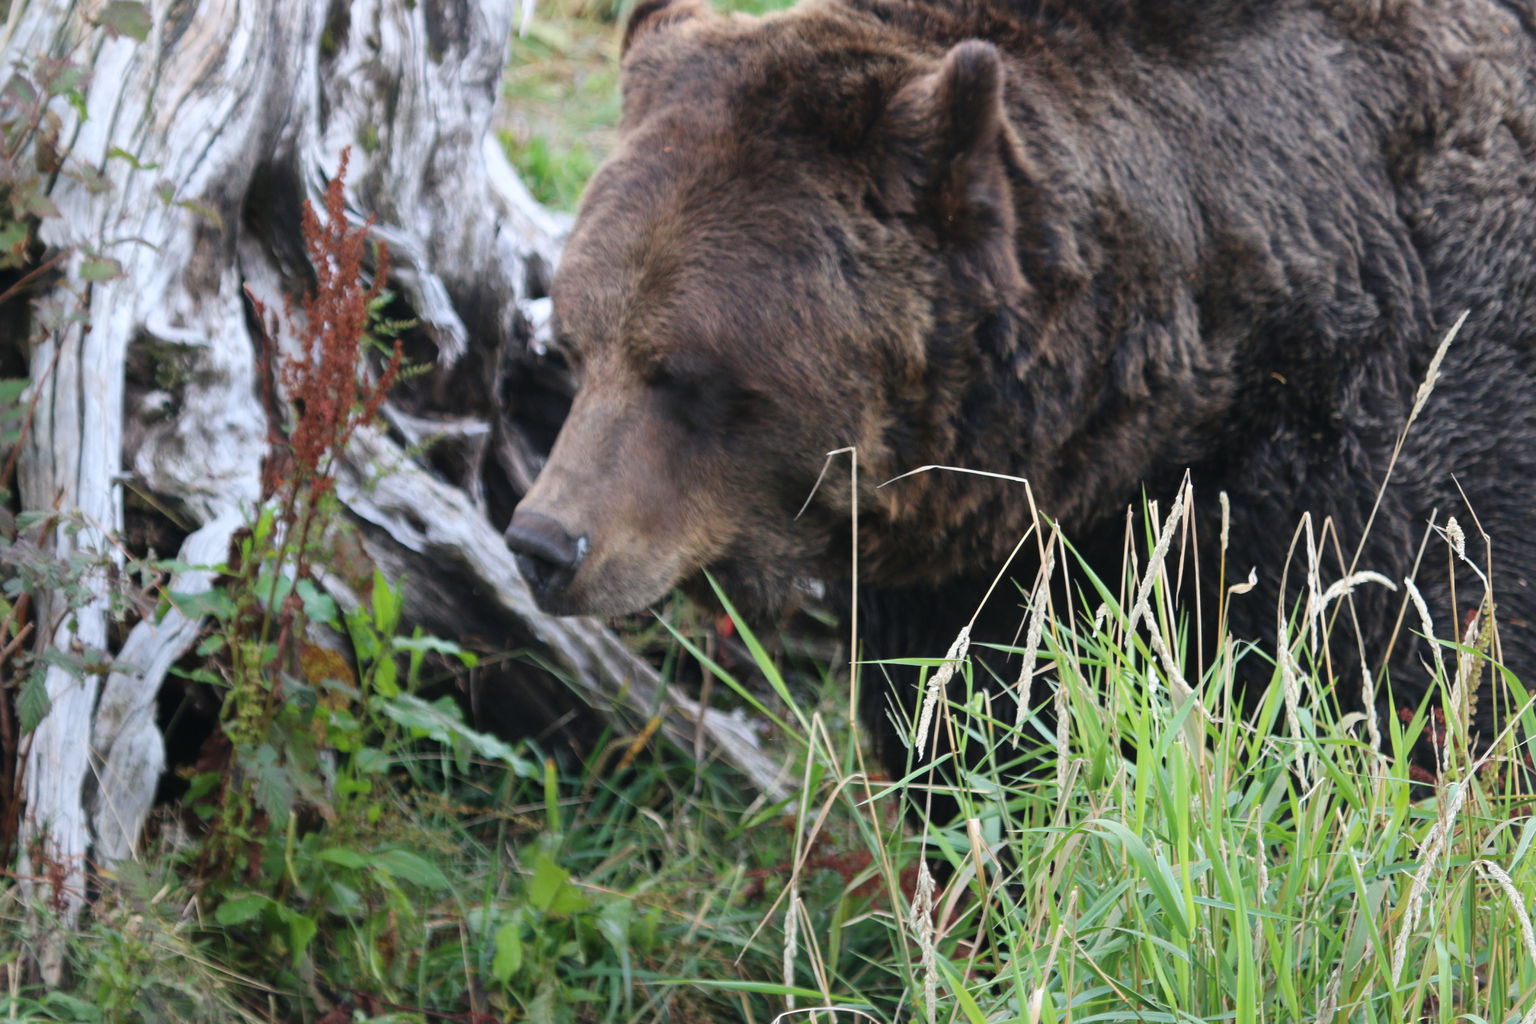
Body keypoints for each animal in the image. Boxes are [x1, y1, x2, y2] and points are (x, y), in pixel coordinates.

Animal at [506, 0, 1536, 776]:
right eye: (576, 343)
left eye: (684, 372)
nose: (544, 543)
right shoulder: (979, 571)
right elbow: (971, 738)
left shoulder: (1388, 446)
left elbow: (1402, 692)